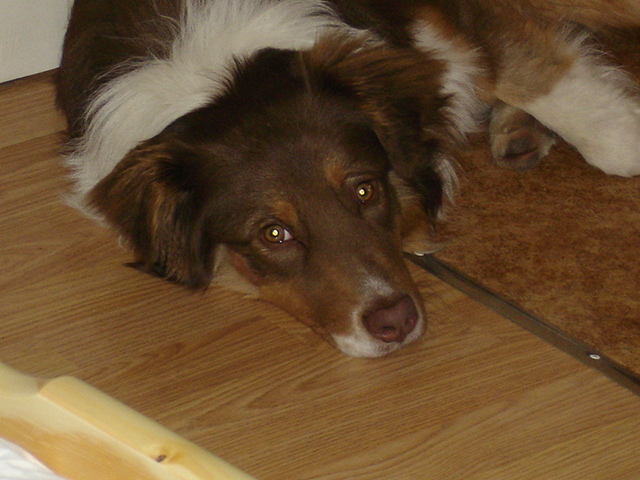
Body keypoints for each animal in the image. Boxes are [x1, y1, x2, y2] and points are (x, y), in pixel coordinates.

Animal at [56, 0, 640, 357]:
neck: (219, 71)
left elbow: (548, 85)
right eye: (273, 234)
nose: (395, 324)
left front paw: (623, 132)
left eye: (364, 189)